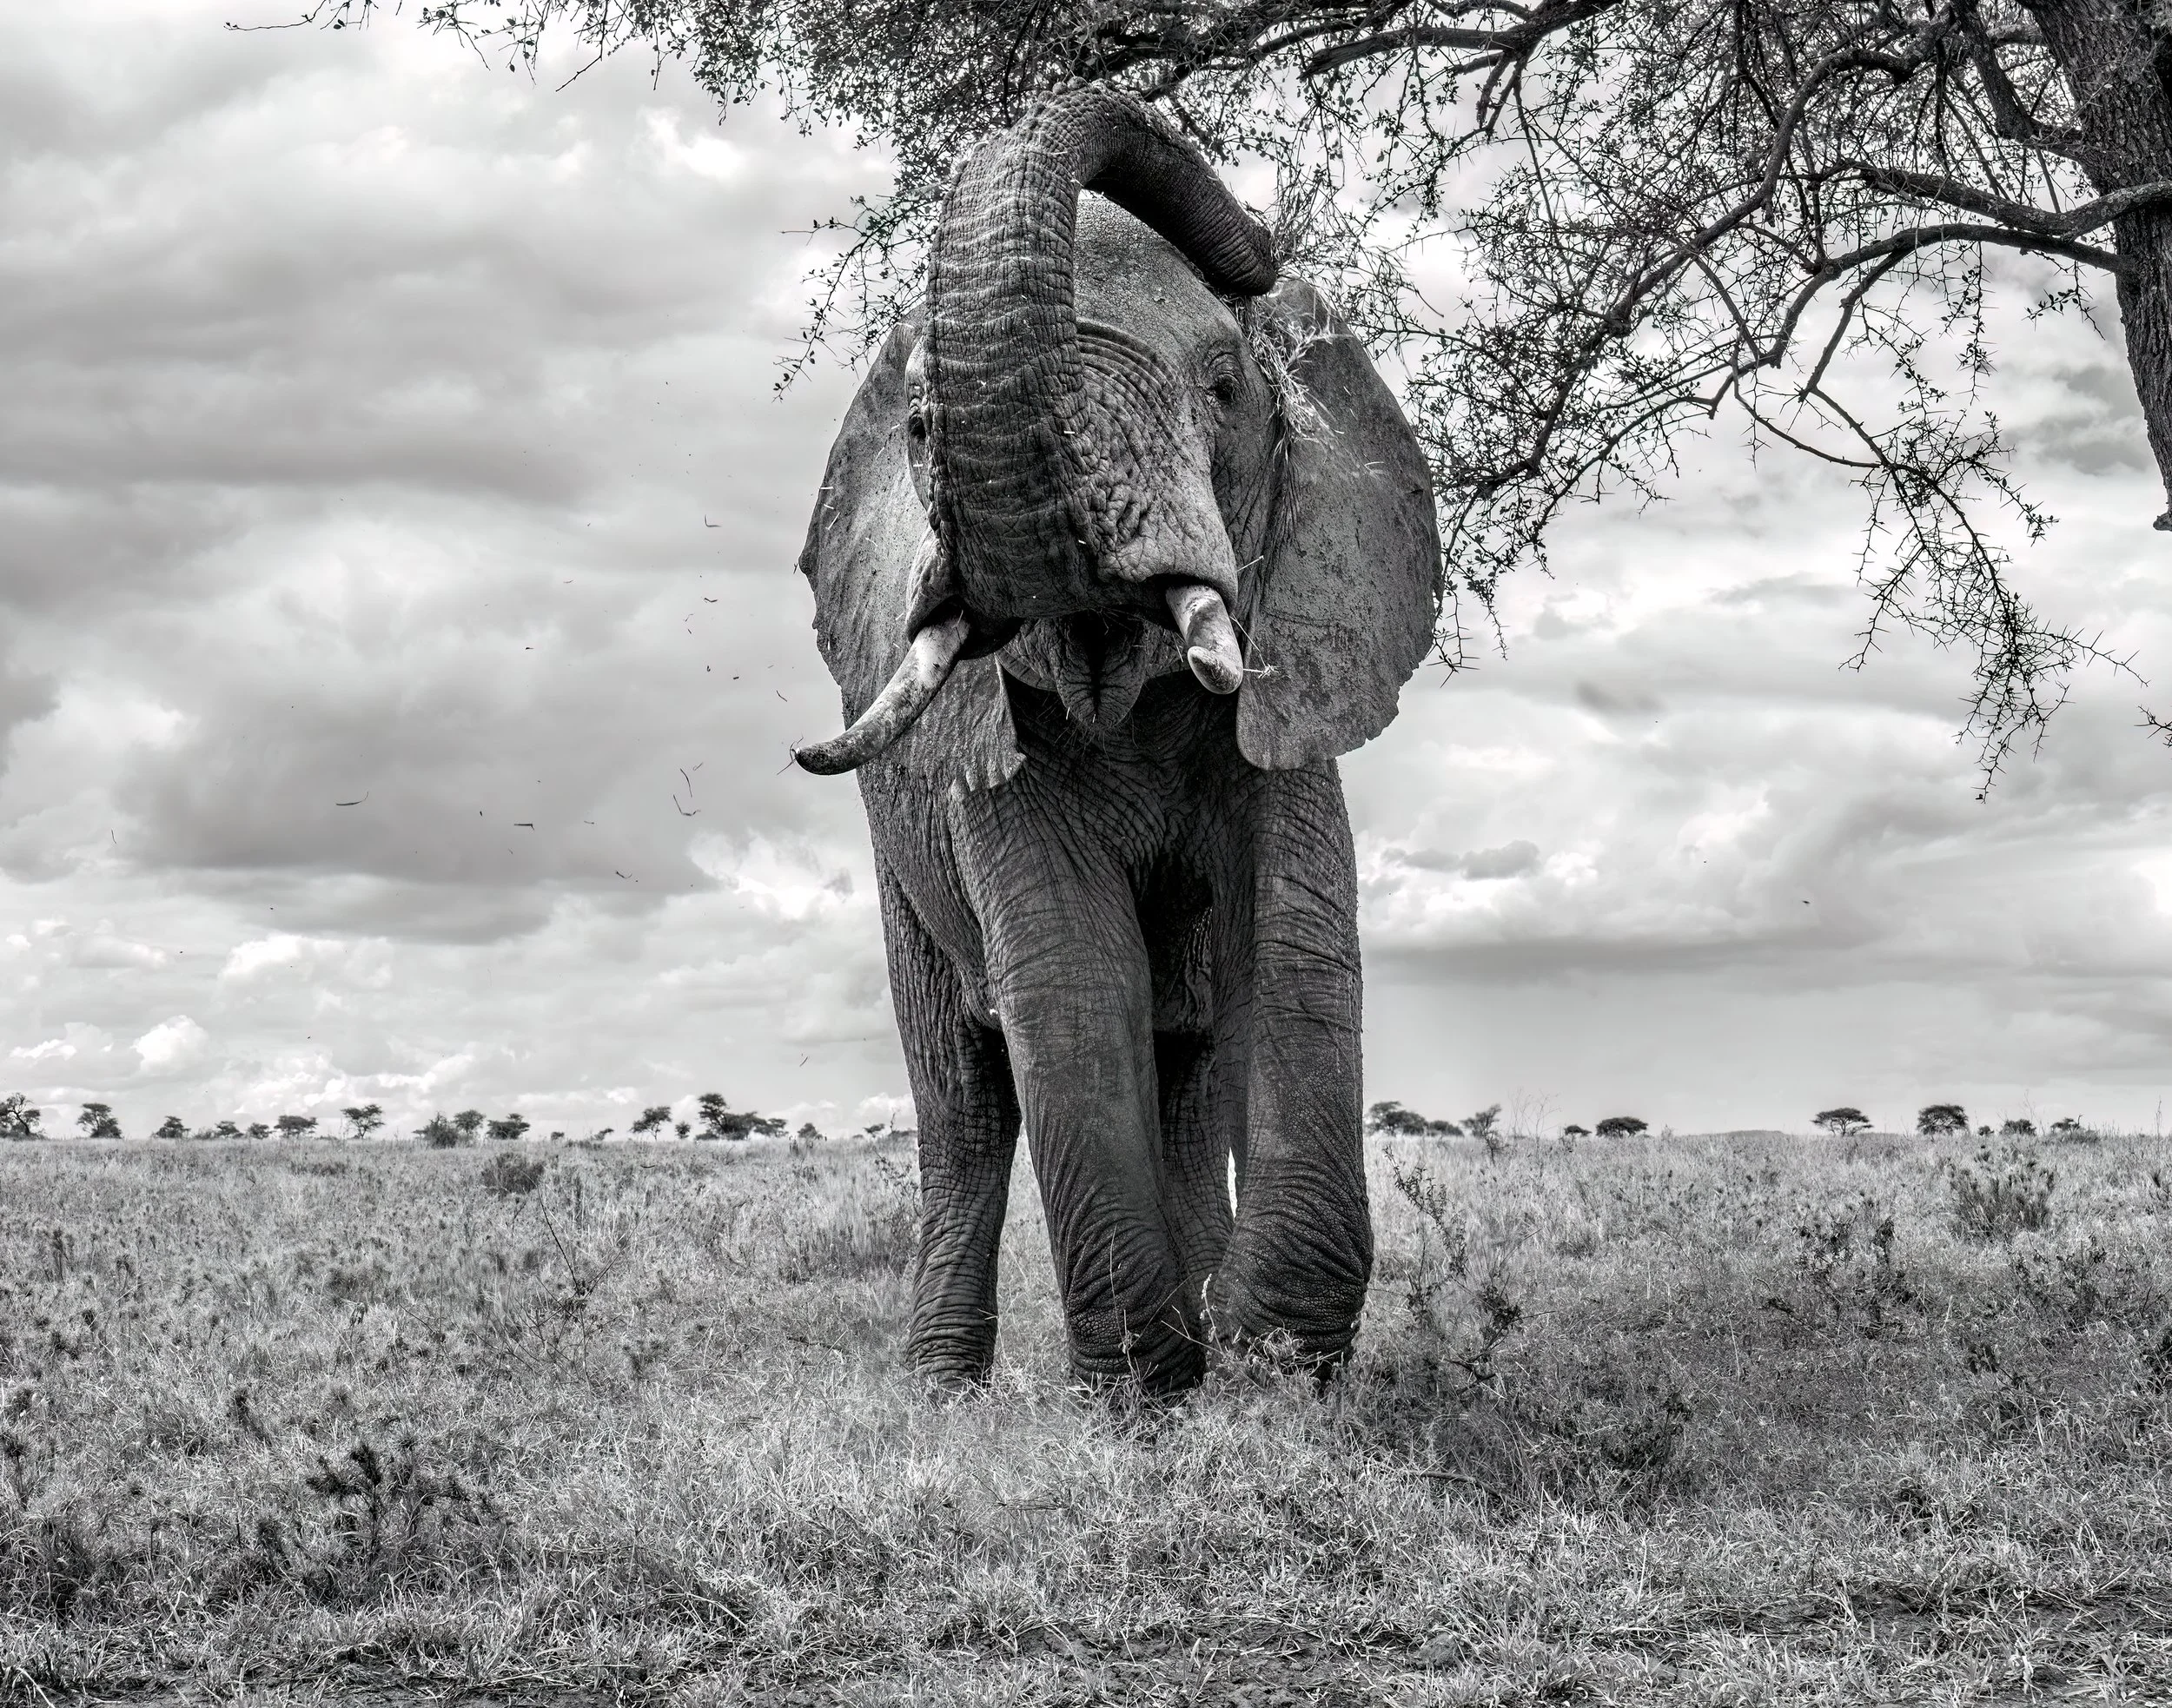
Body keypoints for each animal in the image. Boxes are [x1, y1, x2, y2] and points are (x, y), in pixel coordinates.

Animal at [791, 85, 1441, 1394]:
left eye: (1228, 390)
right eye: (921, 427)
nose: (1256, 235)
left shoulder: (1291, 681)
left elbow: (1292, 943)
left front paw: (1268, 1355)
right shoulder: (988, 752)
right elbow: (1069, 974)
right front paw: (1148, 1386)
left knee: (1188, 1073)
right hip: (897, 871)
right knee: (964, 1098)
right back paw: (942, 1389)